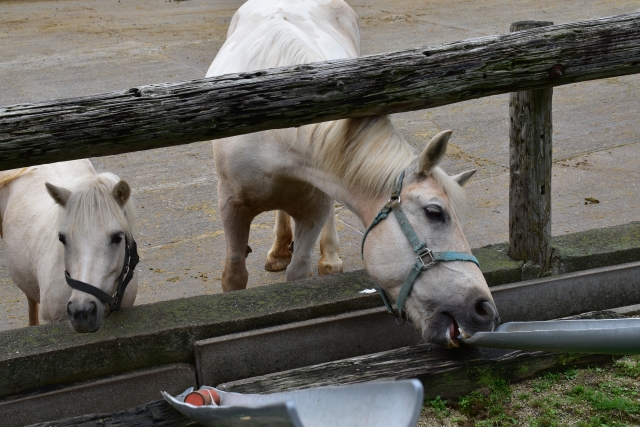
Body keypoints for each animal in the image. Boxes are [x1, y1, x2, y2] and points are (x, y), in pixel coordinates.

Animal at [208, 0, 498, 348]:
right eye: (434, 212)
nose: (484, 310)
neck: (277, 138)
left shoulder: (314, 208)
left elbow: (299, 272)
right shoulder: (231, 207)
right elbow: (234, 276)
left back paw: (327, 259)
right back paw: (278, 251)